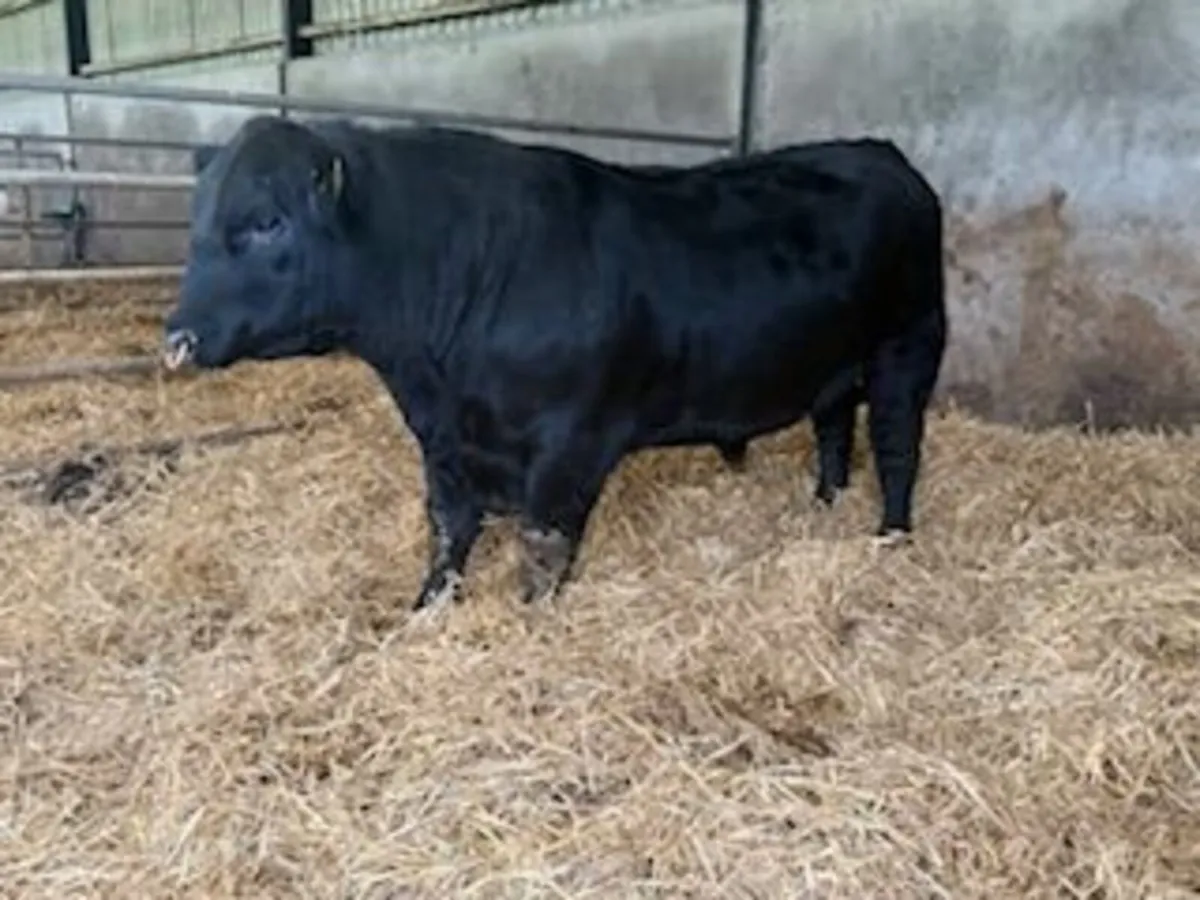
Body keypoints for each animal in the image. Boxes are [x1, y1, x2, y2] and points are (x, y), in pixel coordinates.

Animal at [162, 115, 947, 612]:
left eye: (267, 221)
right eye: (194, 220)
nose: (178, 338)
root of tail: (878, 152)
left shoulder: (571, 444)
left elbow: (543, 546)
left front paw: (531, 624)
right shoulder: (444, 444)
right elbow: (446, 532)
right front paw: (426, 610)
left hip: (908, 349)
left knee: (897, 447)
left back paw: (891, 537)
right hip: (836, 364)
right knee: (834, 426)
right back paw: (825, 504)